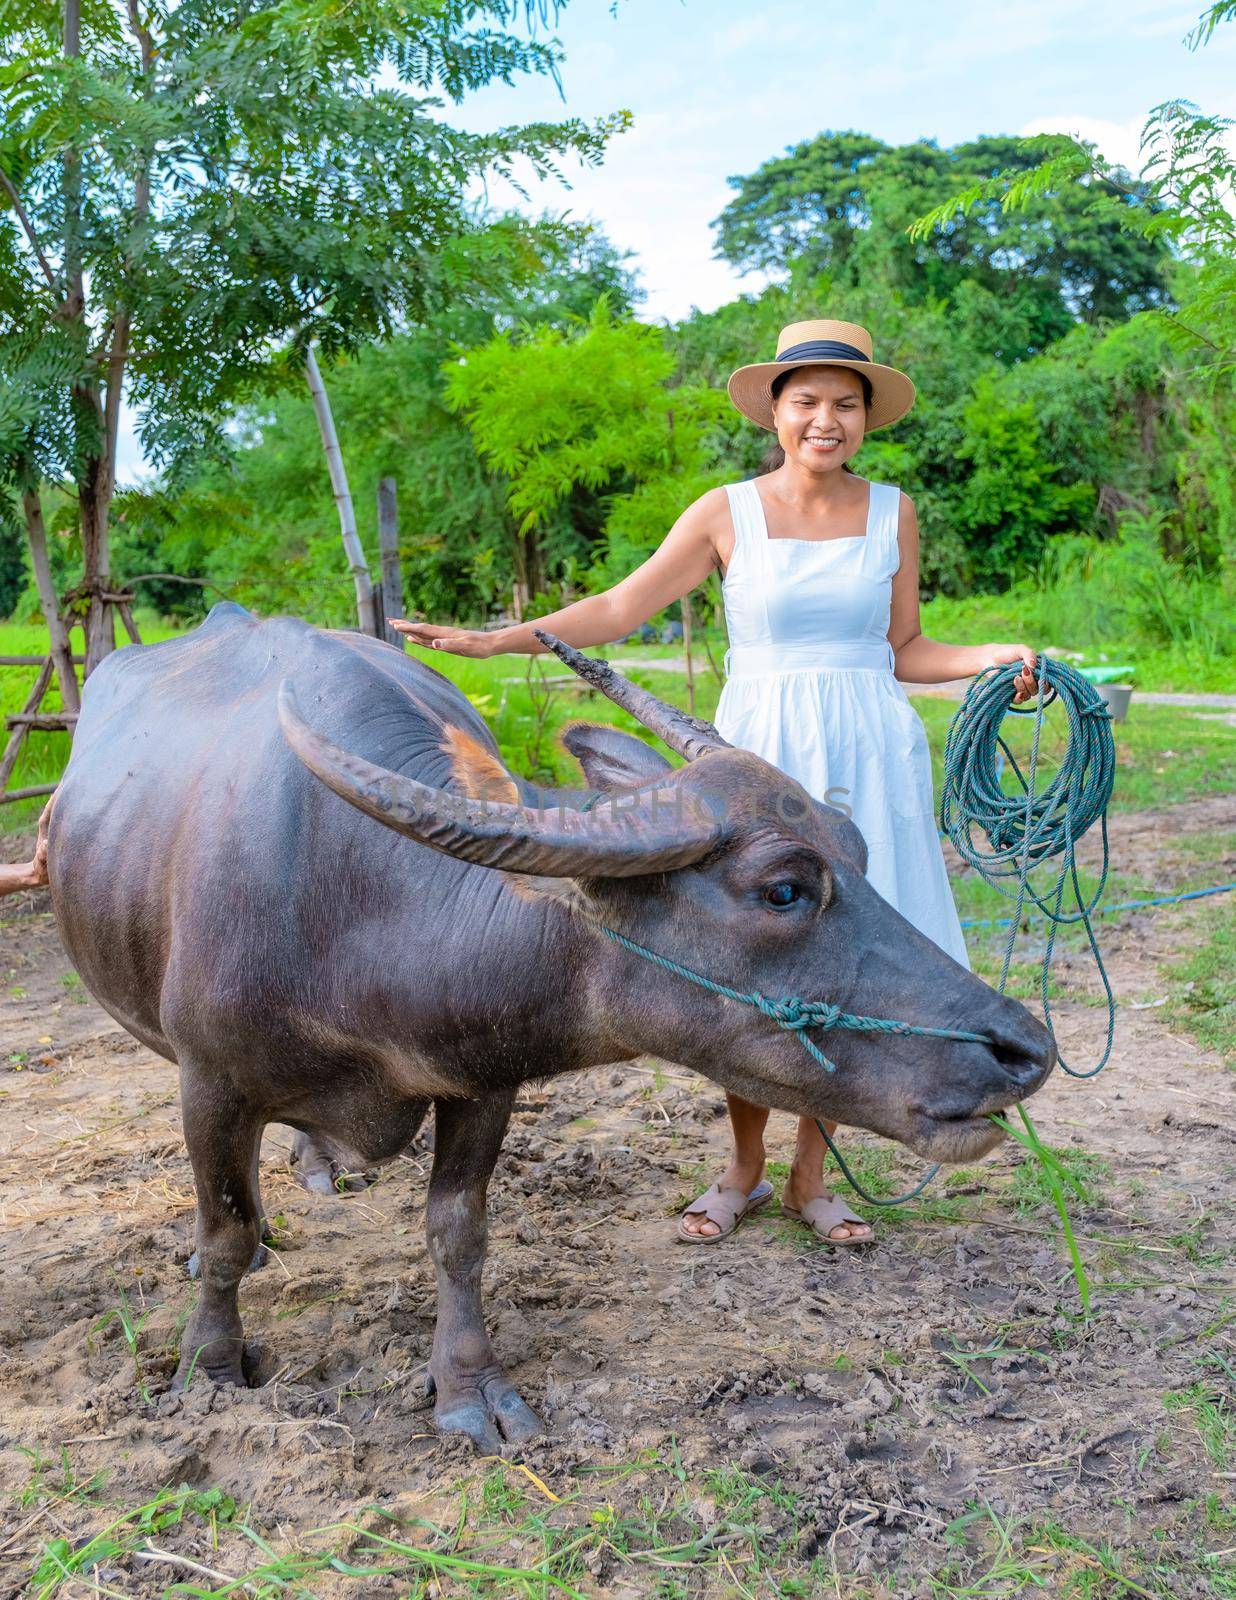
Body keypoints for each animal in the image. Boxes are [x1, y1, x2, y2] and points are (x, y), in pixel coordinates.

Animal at [45, 601, 1050, 1452]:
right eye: (785, 889)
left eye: (862, 850)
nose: (1026, 1050)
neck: (361, 906)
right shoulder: (210, 1082)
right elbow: (224, 1227)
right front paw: (210, 1371)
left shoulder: (482, 1083)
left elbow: (458, 1232)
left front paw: (469, 1389)